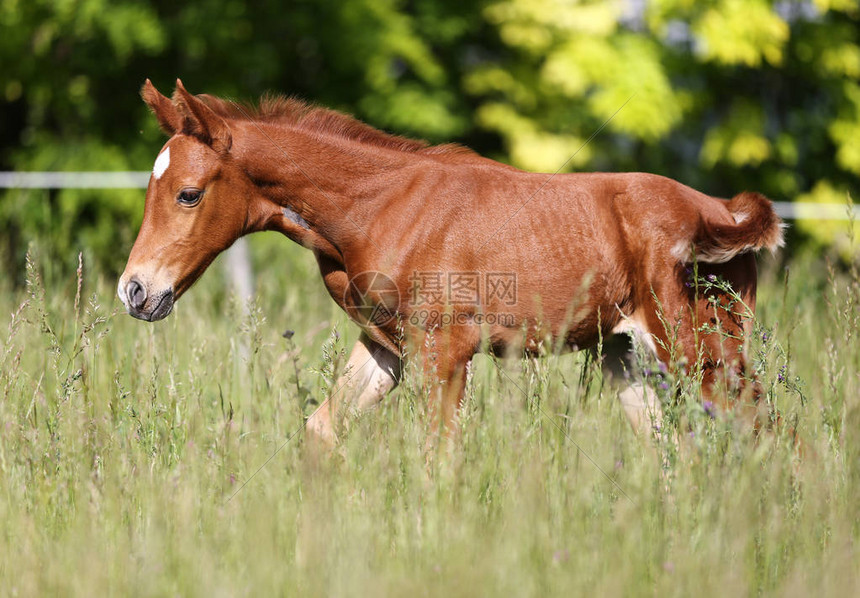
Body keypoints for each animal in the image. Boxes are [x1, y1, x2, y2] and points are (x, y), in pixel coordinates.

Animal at [117, 79, 784, 448]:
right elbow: (322, 432)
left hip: (701, 351)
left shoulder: (446, 349)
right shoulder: (386, 345)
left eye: (188, 194)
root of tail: (719, 210)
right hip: (628, 357)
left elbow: (440, 458)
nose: (134, 290)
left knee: (770, 431)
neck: (379, 206)